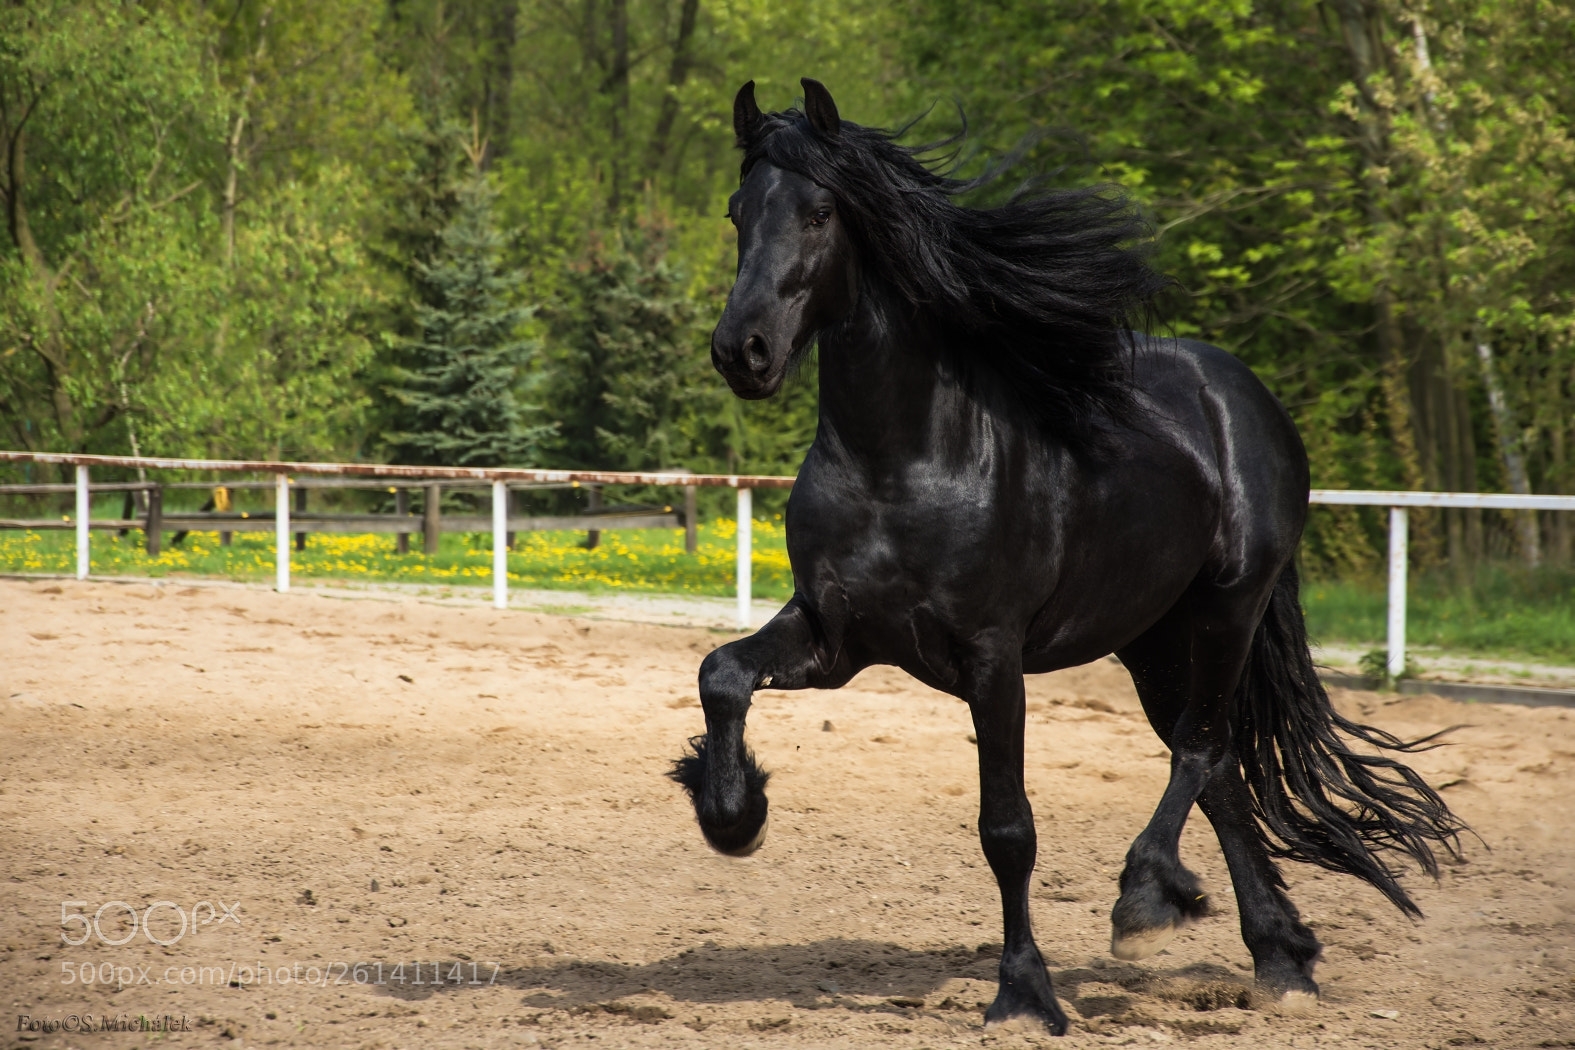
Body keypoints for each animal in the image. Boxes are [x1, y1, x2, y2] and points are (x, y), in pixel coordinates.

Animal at [668, 78, 1465, 1035]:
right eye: (736, 211)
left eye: (820, 212)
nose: (741, 352)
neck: (902, 463)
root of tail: (1237, 391)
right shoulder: (835, 639)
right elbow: (721, 672)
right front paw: (732, 812)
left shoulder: (990, 657)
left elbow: (1007, 828)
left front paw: (1023, 993)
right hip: (1151, 641)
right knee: (1222, 772)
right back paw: (1279, 958)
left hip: (1227, 609)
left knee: (1201, 750)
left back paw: (1148, 904)